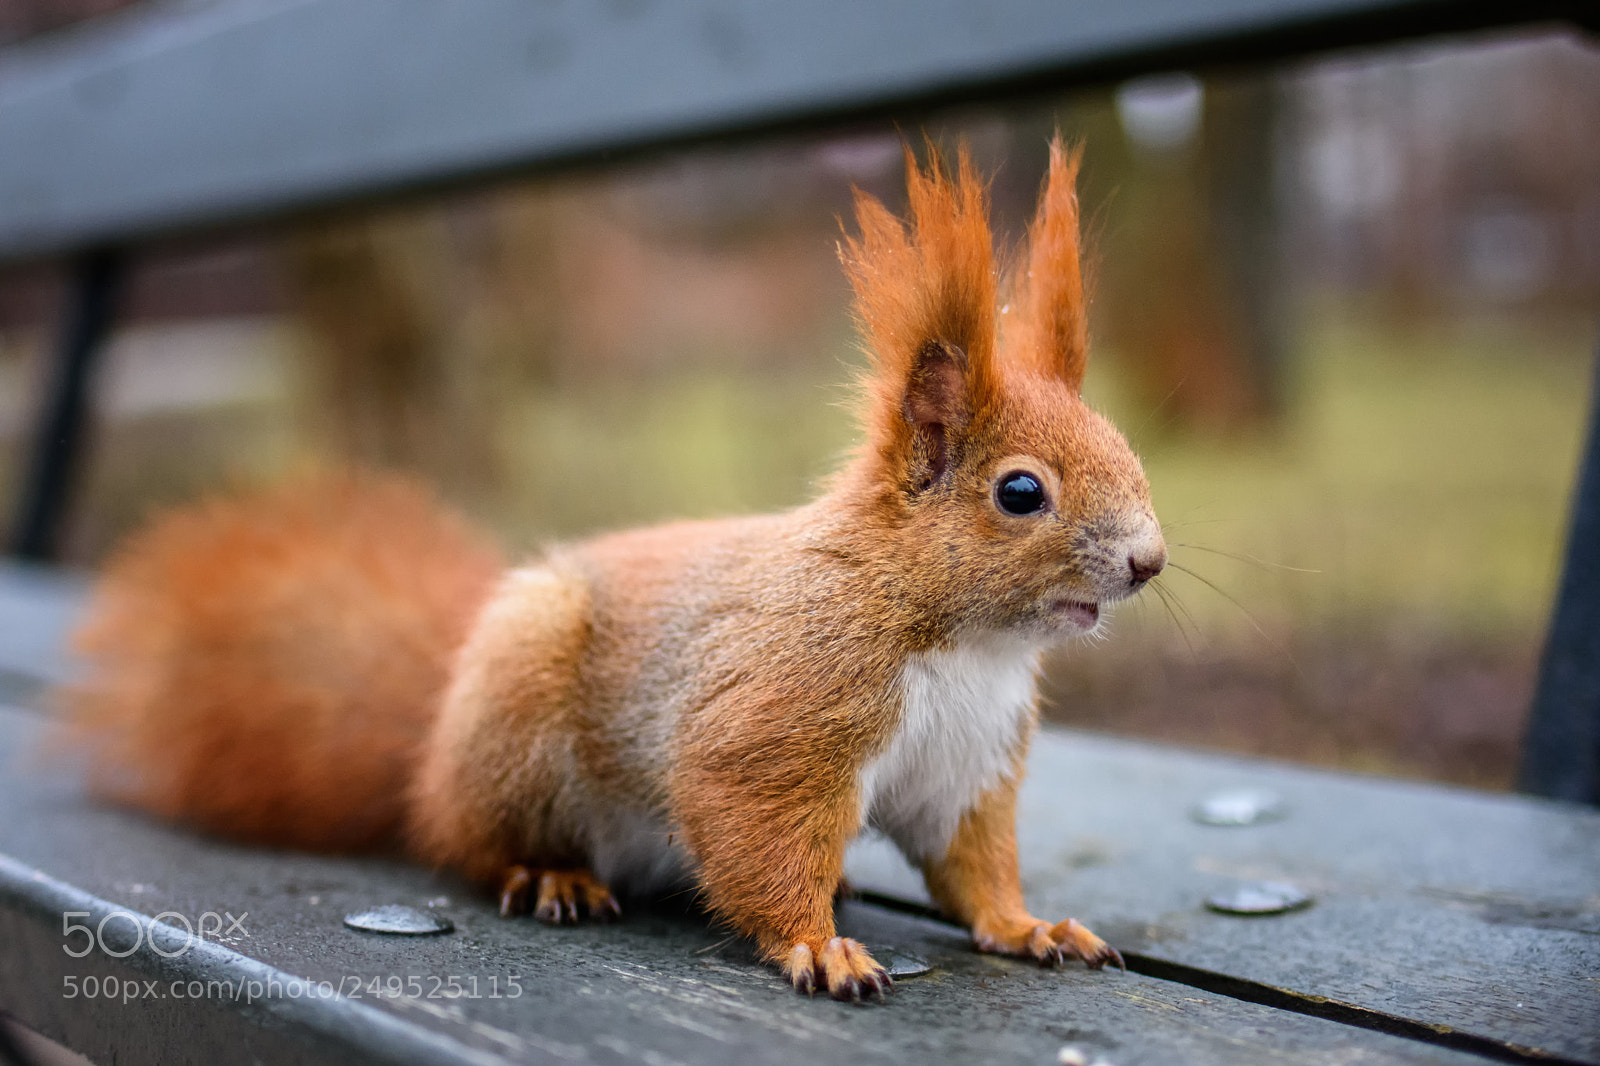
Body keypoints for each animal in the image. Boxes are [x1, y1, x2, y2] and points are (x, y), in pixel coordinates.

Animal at [62, 138, 1166, 1002]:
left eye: (1123, 443)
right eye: (1019, 492)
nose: (1149, 561)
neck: (965, 640)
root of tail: (430, 753)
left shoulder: (966, 768)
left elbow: (972, 869)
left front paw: (1028, 927)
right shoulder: (782, 709)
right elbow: (745, 818)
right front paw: (816, 945)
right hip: (517, 729)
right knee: (468, 844)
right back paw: (549, 876)